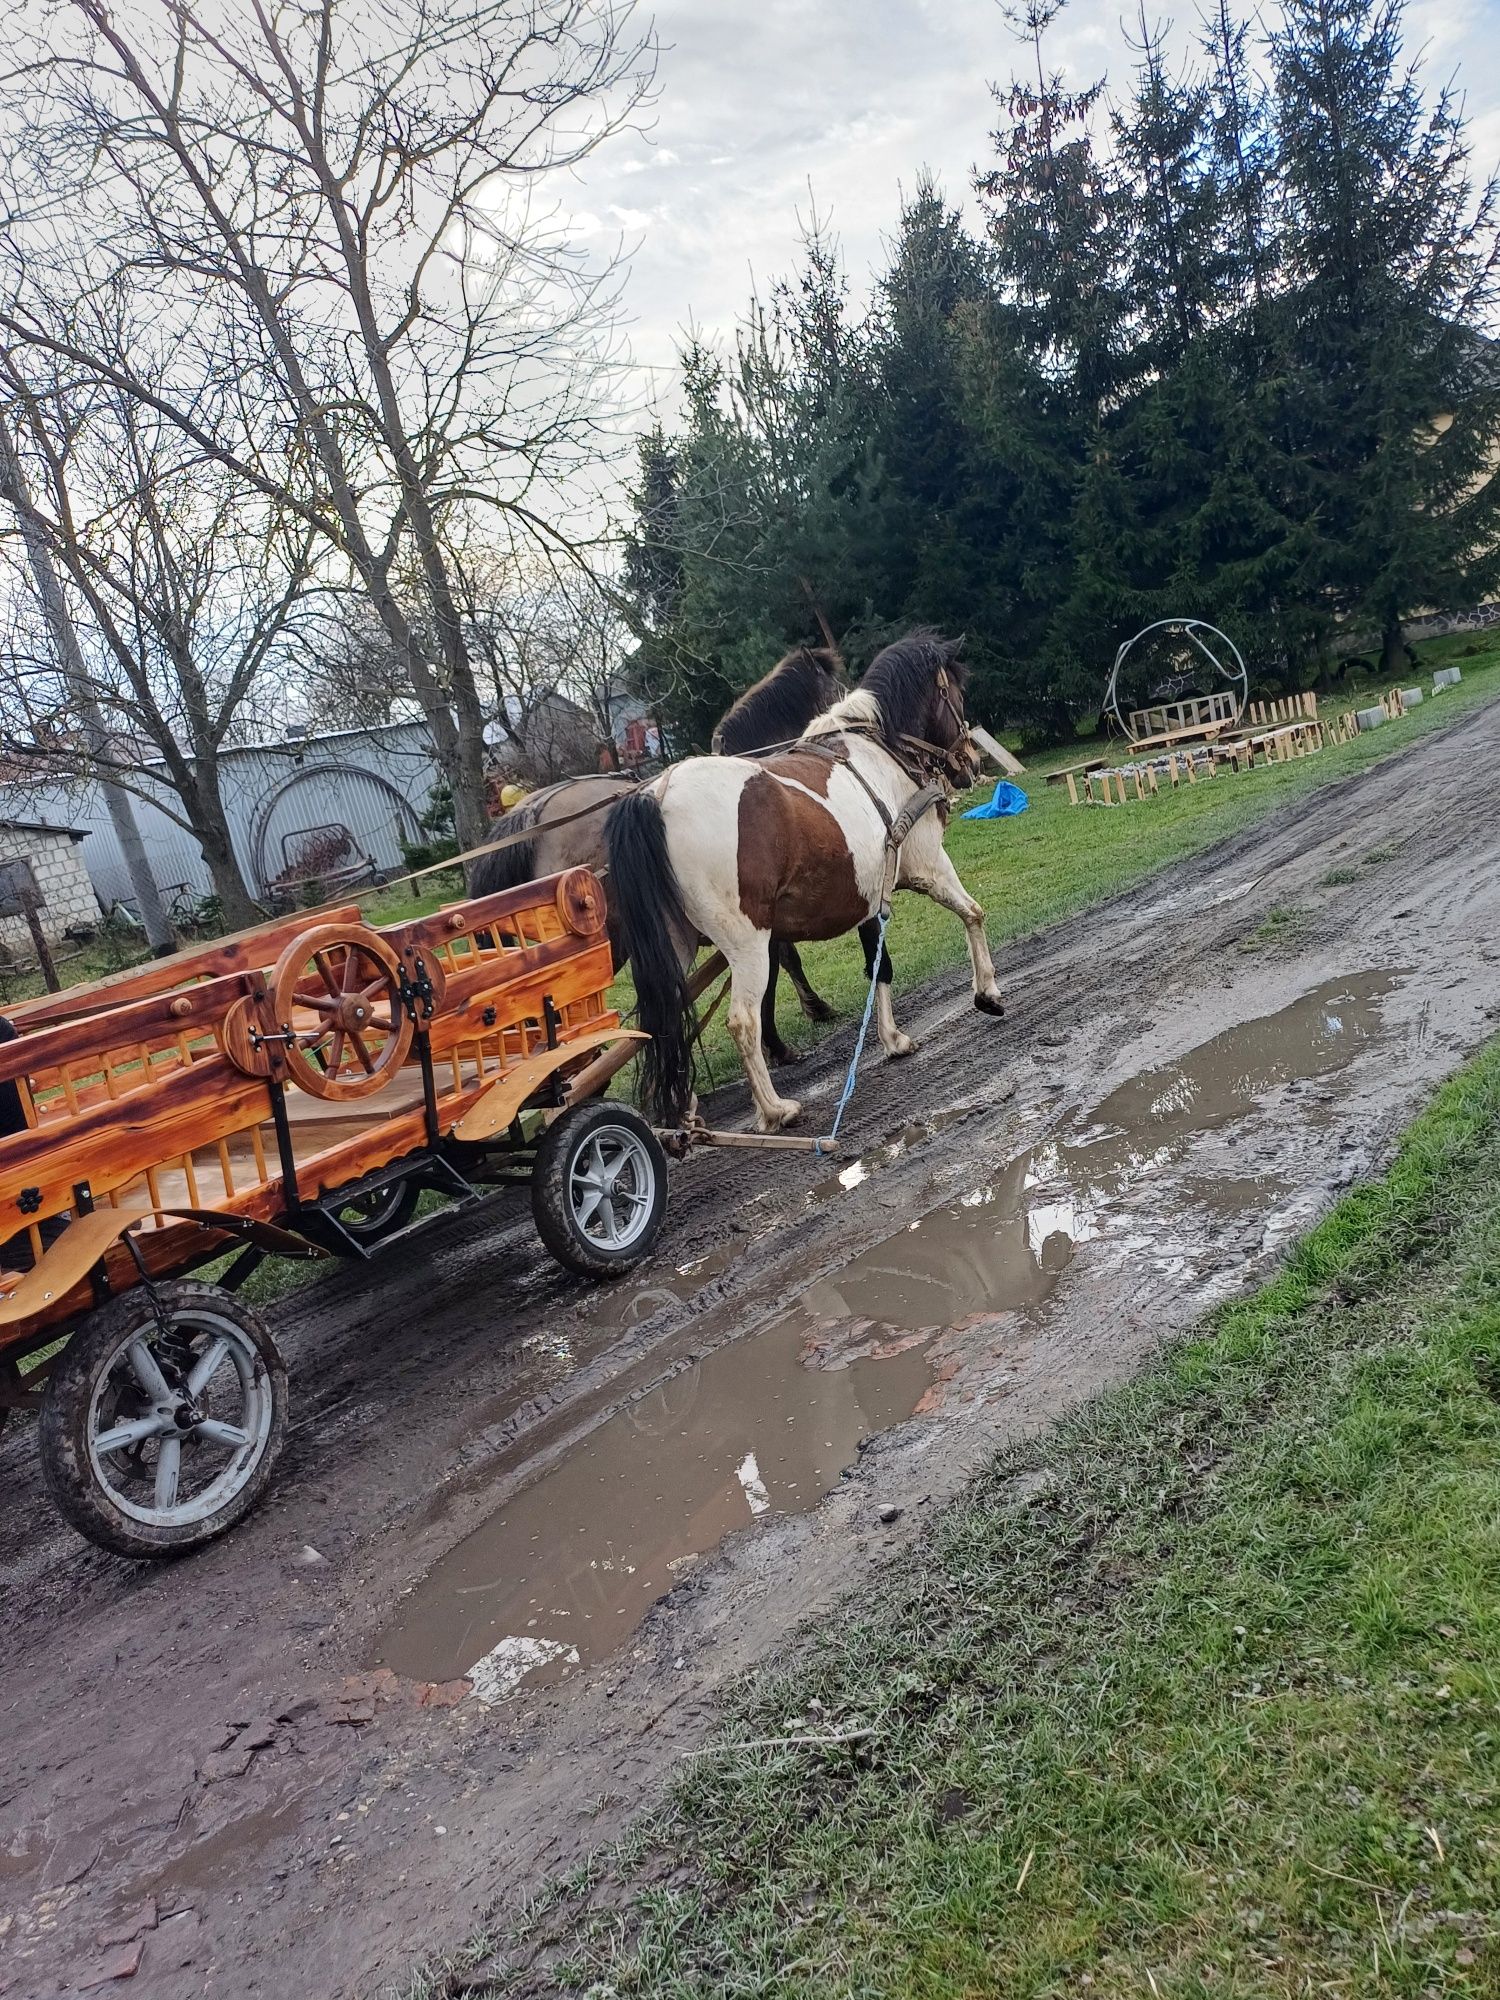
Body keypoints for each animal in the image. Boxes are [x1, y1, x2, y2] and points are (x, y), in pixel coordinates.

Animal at [604, 632, 1004, 1136]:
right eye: (955, 692)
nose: (969, 761)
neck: (881, 753)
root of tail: (654, 795)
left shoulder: (871, 900)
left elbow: (879, 967)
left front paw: (892, 1038)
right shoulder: (929, 866)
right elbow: (972, 913)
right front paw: (986, 993)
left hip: (677, 945)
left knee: (663, 1022)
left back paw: (684, 1113)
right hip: (746, 943)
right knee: (742, 1021)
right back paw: (775, 1110)